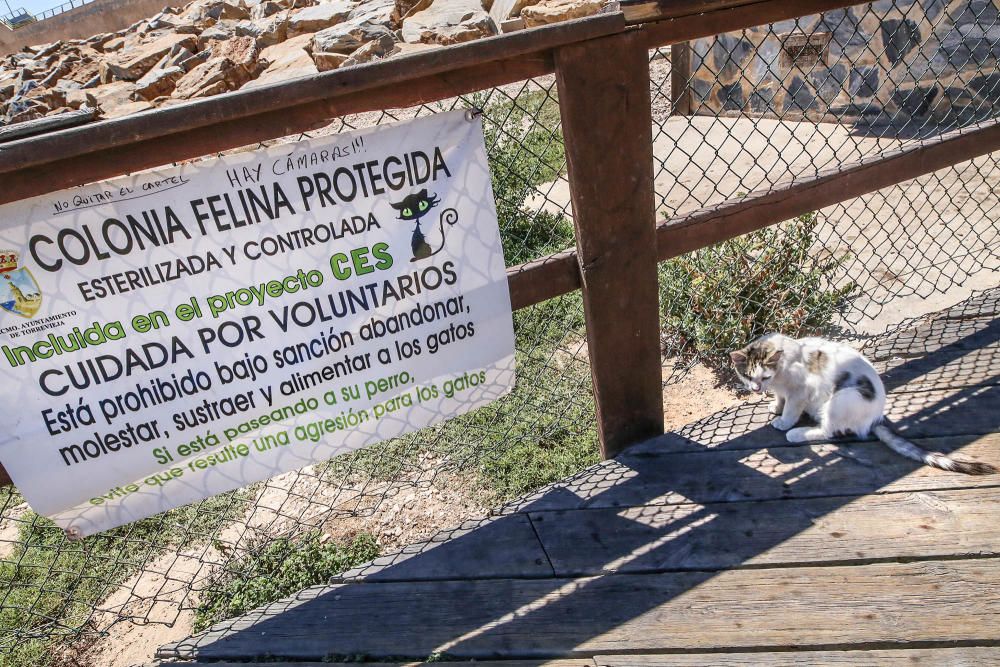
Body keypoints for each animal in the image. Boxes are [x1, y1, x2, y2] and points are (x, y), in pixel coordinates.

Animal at [732, 334, 996, 474]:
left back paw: (798, 434)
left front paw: (784, 422)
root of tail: (875, 416)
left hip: (843, 398)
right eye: (749, 377)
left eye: (764, 376)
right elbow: (780, 397)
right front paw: (775, 406)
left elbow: (791, 407)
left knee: (829, 431)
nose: (756, 389)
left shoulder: (800, 389)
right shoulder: (781, 389)